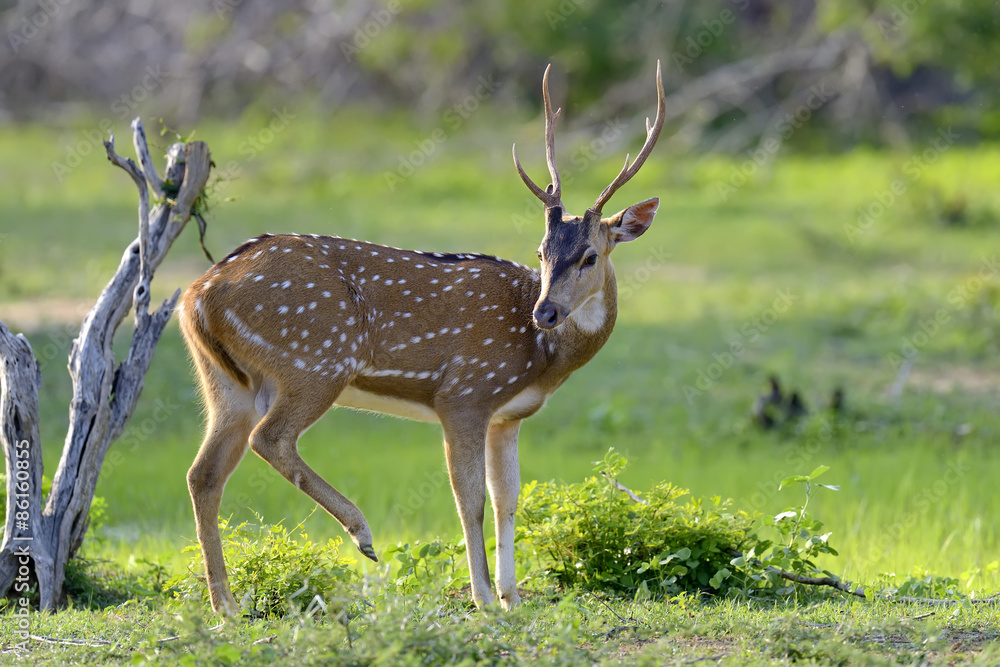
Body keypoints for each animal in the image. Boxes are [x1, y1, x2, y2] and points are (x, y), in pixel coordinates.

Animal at [179, 61, 665, 615]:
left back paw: (226, 606)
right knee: (270, 438)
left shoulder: (507, 416)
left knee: (203, 474)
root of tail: (197, 294)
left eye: (589, 256)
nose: (546, 312)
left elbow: (508, 498)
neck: (541, 360)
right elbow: (470, 499)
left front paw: (511, 596)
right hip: (316, 361)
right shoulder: (464, 394)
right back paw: (362, 535)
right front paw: (483, 599)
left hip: (224, 381)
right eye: (542, 251)